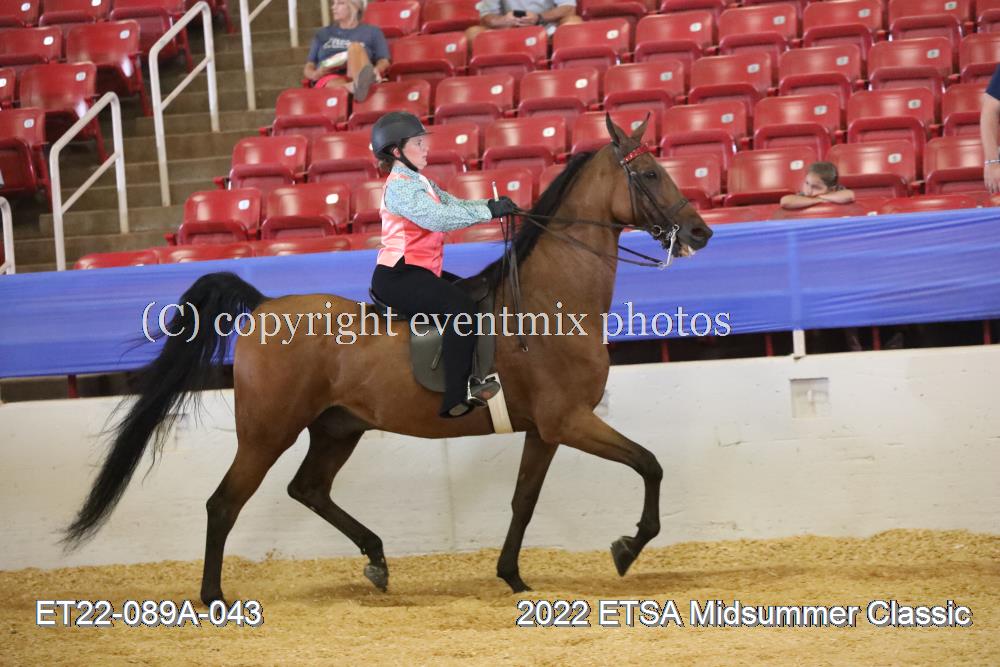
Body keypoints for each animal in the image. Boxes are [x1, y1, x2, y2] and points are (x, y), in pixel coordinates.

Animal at [64, 115, 714, 604]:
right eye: (649, 173)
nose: (700, 233)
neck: (549, 301)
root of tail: (265, 304)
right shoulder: (570, 420)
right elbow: (650, 464)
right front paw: (627, 548)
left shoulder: (545, 430)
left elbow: (524, 501)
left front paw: (512, 575)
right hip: (268, 432)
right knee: (224, 503)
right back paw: (214, 596)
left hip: (337, 428)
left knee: (308, 489)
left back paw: (376, 559)